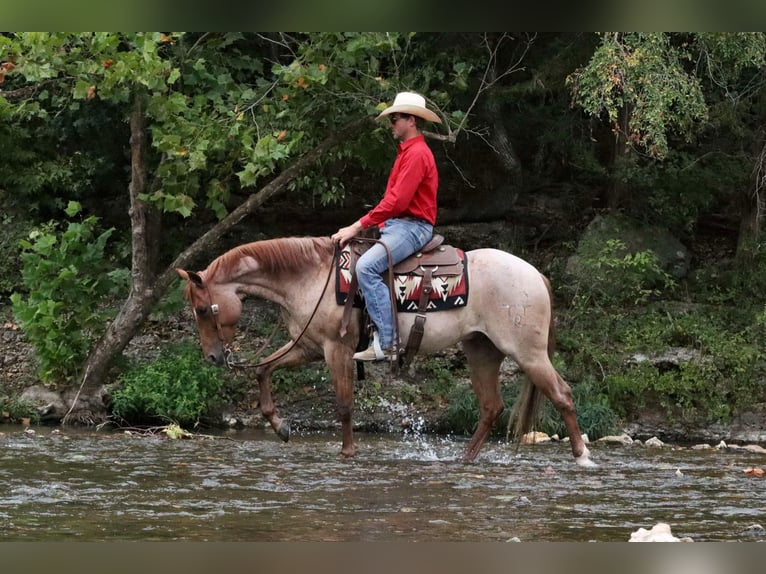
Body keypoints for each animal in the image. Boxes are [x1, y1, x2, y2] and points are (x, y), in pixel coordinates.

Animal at [177, 235, 596, 468]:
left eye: (202, 309)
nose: (213, 357)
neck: (309, 277)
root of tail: (535, 274)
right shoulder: (309, 346)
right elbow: (264, 369)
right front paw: (280, 426)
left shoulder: (337, 348)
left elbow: (344, 404)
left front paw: (347, 453)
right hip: (482, 350)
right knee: (491, 406)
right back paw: (465, 459)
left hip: (527, 352)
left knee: (562, 394)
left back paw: (582, 456)